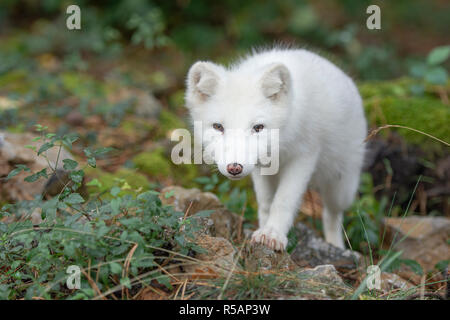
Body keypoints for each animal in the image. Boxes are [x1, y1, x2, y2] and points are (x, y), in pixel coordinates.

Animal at [185, 48, 368, 251]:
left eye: (258, 127)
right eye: (218, 127)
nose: (234, 168)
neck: (280, 147)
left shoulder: (304, 156)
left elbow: (283, 201)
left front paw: (273, 234)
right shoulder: (260, 167)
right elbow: (266, 202)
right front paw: (263, 230)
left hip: (341, 187)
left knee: (332, 214)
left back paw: (336, 245)